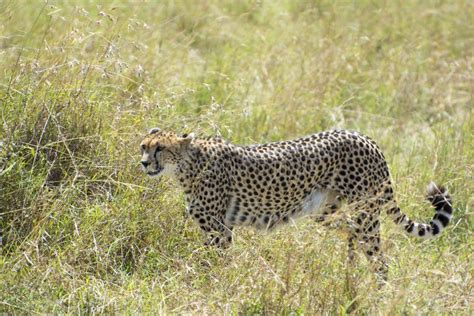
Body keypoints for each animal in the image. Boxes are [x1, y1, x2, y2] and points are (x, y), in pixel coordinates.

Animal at [140, 127, 452, 280]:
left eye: (160, 148)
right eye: (144, 146)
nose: (143, 163)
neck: (188, 165)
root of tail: (366, 138)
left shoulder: (219, 230)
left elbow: (215, 262)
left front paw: (212, 283)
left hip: (365, 212)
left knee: (378, 258)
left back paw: (375, 291)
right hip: (328, 212)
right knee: (351, 232)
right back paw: (350, 271)